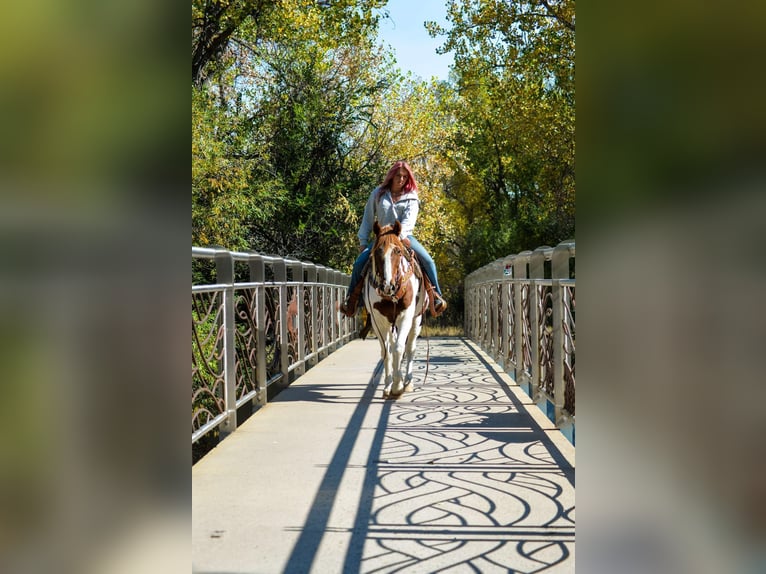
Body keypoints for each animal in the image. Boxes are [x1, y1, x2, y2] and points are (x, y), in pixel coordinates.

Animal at [364, 220, 428, 400]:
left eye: (398, 251)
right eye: (377, 251)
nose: (388, 286)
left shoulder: (405, 317)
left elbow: (400, 348)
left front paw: (398, 387)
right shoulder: (378, 321)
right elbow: (387, 352)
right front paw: (388, 386)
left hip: (416, 320)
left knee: (410, 348)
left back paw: (408, 382)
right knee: (391, 347)